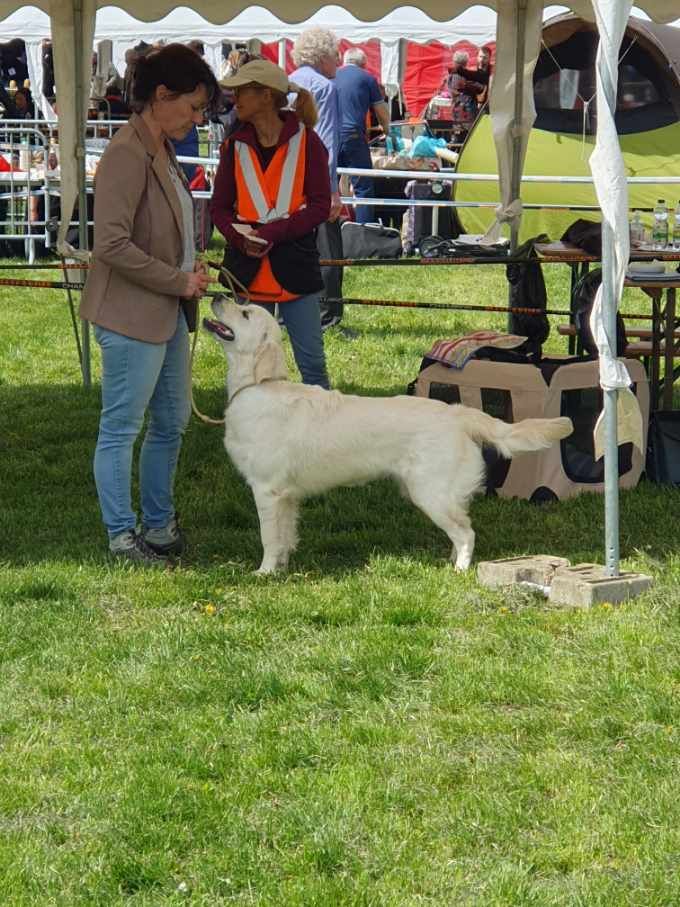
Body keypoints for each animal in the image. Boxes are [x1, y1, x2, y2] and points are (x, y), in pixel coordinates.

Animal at [203, 300, 572, 576]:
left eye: (245, 313)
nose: (217, 295)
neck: (256, 385)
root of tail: (457, 413)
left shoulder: (267, 489)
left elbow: (268, 537)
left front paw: (264, 573)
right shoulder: (287, 497)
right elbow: (285, 536)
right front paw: (280, 567)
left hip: (429, 492)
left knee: (466, 531)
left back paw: (460, 570)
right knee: (460, 527)